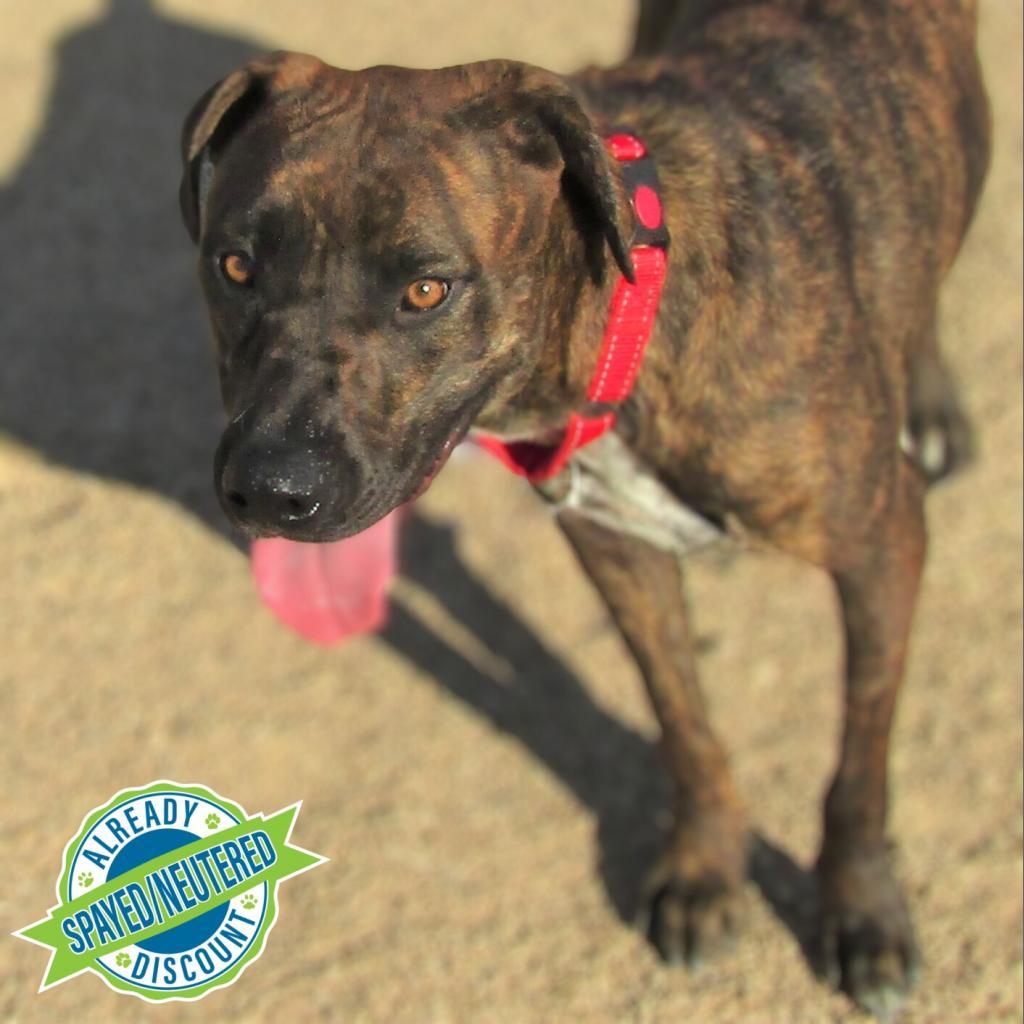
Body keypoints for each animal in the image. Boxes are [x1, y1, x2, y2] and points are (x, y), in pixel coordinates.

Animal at [180, 0, 987, 1007]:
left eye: (426, 289)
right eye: (234, 267)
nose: (271, 489)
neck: (630, 320)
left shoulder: (881, 549)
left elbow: (860, 760)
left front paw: (861, 906)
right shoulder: (619, 552)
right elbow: (685, 724)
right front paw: (706, 865)